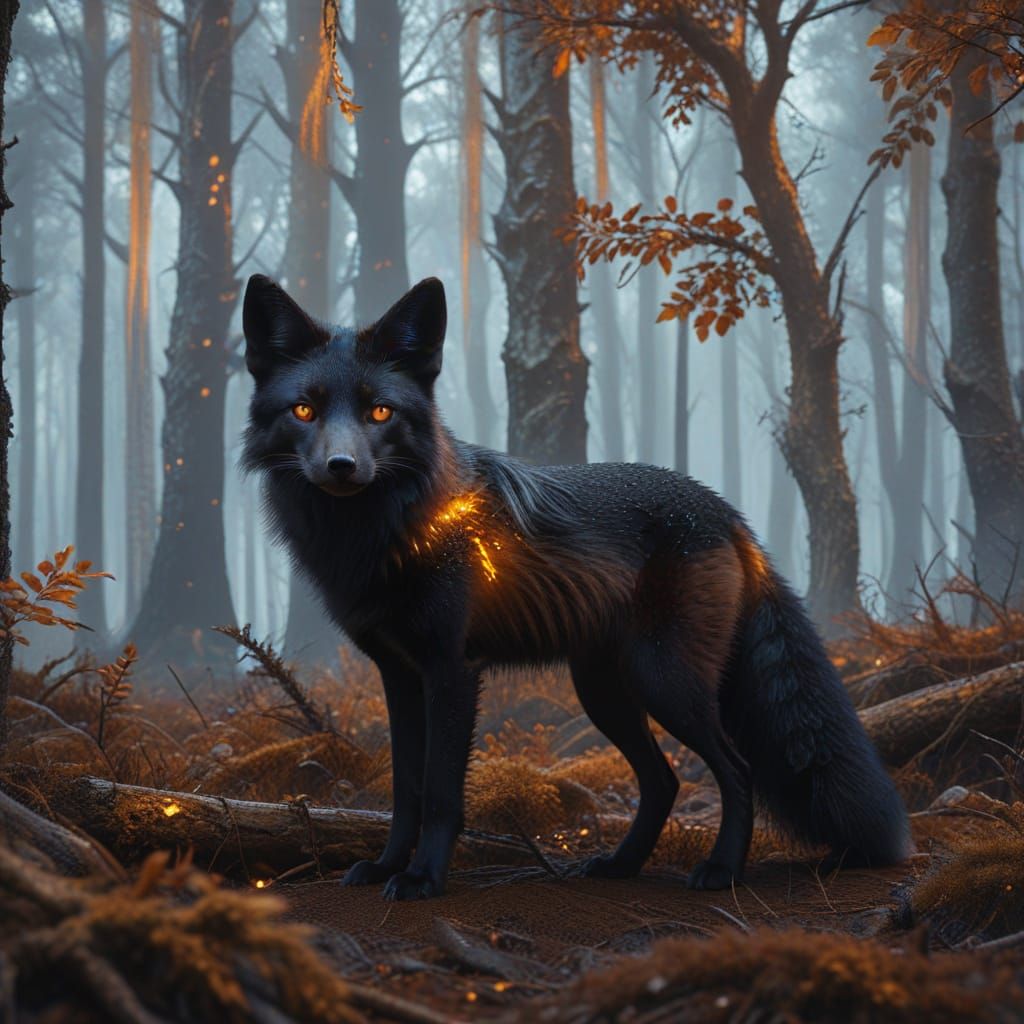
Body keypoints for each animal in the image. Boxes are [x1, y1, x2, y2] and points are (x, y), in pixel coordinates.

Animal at [241, 272, 911, 901]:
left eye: (380, 411)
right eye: (304, 410)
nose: (342, 467)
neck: (383, 533)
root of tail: (725, 512)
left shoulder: (452, 671)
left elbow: (440, 793)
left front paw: (424, 877)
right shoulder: (399, 677)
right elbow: (405, 791)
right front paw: (385, 867)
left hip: (666, 684)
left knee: (736, 769)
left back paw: (721, 871)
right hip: (604, 691)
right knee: (664, 780)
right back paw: (621, 865)